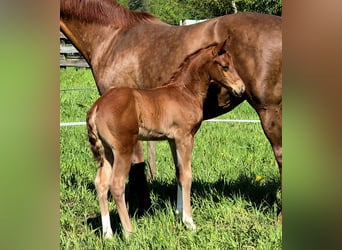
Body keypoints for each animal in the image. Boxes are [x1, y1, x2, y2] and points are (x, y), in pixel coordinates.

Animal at [87, 41, 244, 238]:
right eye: (225, 66)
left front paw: (178, 213)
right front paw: (189, 222)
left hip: (107, 152)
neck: (185, 92)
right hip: (123, 149)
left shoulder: (172, 140)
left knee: (101, 184)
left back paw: (108, 235)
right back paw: (129, 232)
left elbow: (178, 172)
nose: (241, 89)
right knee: (116, 184)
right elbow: (187, 175)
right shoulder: (185, 137)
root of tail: (97, 106)